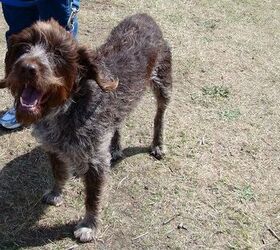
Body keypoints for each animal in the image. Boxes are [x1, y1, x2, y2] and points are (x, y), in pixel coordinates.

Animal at [0, 13, 173, 242]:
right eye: (23, 47)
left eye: (58, 53)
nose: (27, 68)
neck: (67, 106)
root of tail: (144, 16)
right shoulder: (52, 146)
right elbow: (58, 172)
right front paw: (56, 192)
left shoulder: (95, 162)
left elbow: (92, 198)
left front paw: (89, 225)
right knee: (118, 120)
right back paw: (115, 147)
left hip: (163, 82)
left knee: (159, 116)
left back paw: (157, 144)